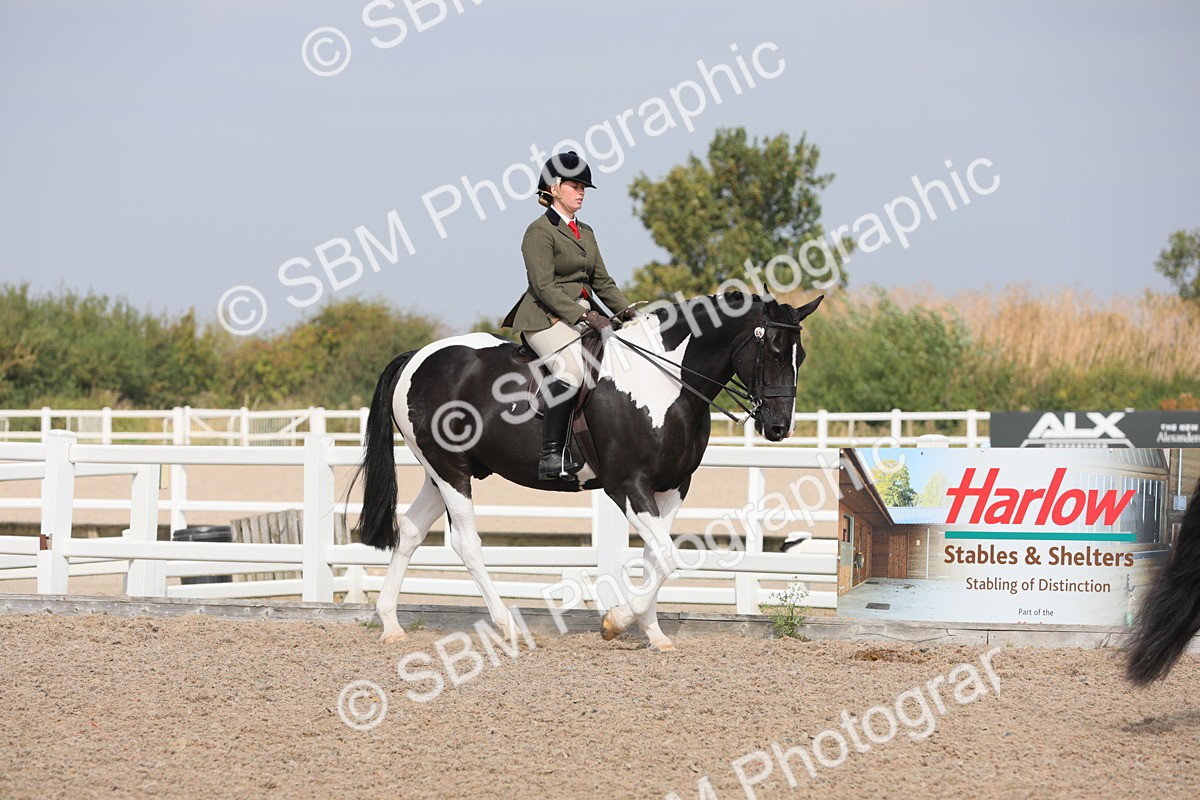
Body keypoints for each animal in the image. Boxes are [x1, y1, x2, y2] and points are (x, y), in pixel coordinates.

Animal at [354, 291, 823, 651]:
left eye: (801, 355)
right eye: (774, 352)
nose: (779, 427)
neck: (665, 381)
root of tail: (417, 357)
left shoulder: (672, 487)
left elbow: (656, 557)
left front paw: (652, 633)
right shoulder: (626, 485)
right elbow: (667, 556)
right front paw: (615, 623)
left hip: (442, 473)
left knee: (410, 531)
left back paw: (390, 624)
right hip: (450, 470)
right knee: (466, 543)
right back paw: (507, 626)